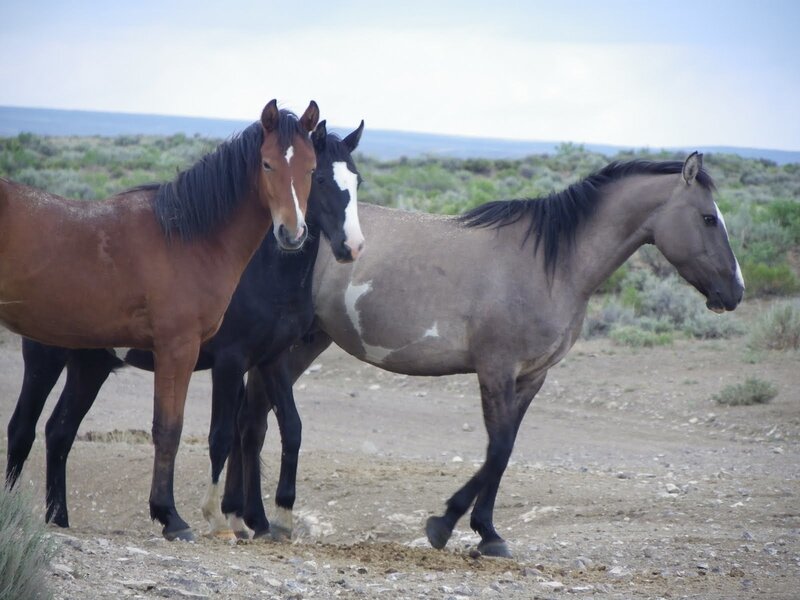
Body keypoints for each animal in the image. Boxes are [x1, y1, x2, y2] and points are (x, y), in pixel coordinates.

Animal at [4, 118, 365, 539]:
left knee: (58, 432)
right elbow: (224, 433)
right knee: (23, 429)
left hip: (90, 366)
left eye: (355, 180)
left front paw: (269, 518)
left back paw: (59, 517)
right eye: (321, 178)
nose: (352, 246)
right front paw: (222, 516)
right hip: (46, 359)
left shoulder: (271, 359)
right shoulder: (229, 361)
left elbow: (285, 428)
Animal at [220, 152, 744, 557]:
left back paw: (247, 518)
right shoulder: (495, 370)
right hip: (287, 347)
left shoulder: (531, 378)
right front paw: (446, 524)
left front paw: (487, 534)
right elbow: (499, 447)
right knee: (254, 420)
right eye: (708, 218)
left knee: (253, 419)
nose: (735, 292)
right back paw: (257, 519)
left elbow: (503, 449)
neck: (550, 266)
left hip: (303, 345)